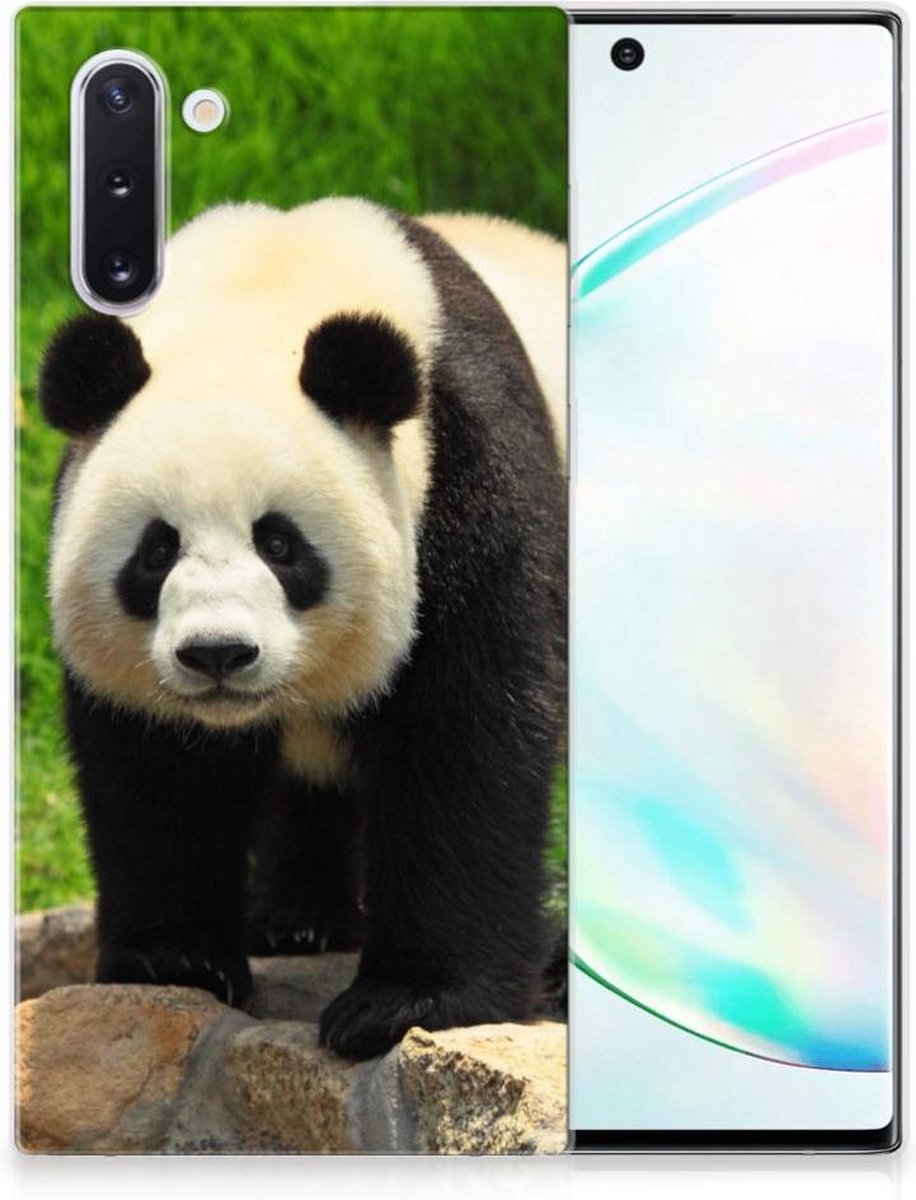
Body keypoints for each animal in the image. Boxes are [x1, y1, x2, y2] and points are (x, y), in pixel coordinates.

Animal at [38, 198, 566, 1060]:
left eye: (280, 544)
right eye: (156, 551)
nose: (218, 654)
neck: (268, 289)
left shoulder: (469, 475)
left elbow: (466, 734)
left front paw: (407, 1002)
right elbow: (159, 765)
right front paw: (175, 958)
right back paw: (297, 921)